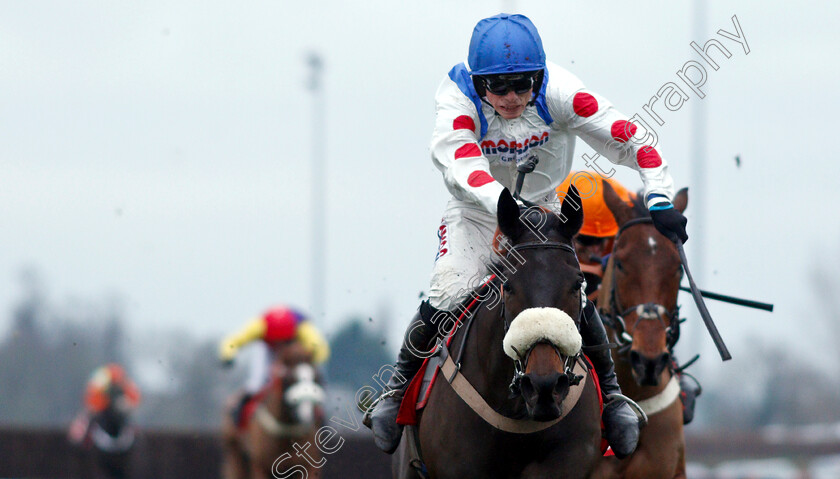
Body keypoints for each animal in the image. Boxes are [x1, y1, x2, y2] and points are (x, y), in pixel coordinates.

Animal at [221, 342, 326, 479]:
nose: (306, 414)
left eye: (316, 378)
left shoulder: (309, 466)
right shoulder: (261, 467)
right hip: (234, 452)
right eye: (290, 379)